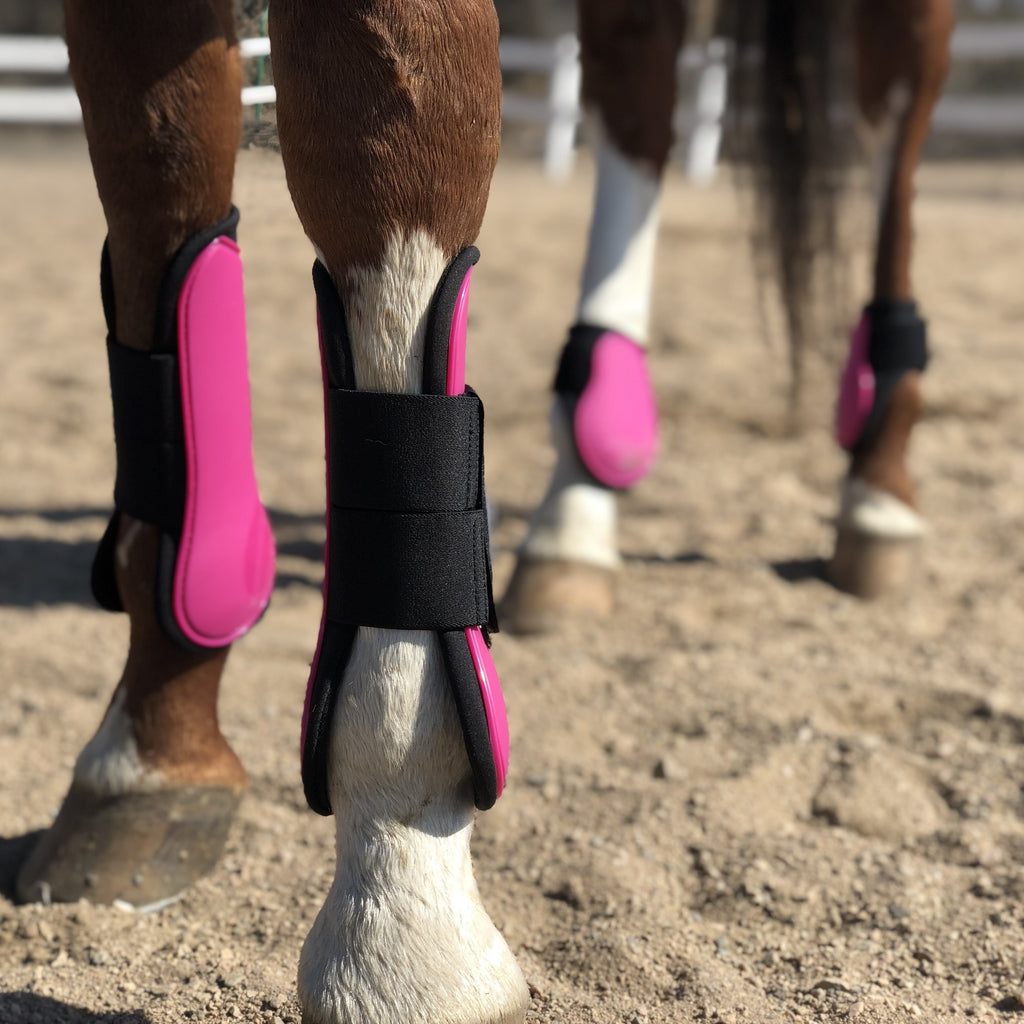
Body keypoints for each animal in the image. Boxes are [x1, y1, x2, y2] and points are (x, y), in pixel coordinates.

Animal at [9, 1, 953, 1022]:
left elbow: (377, 171)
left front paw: (402, 918)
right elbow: (162, 207)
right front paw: (149, 756)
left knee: (897, 100)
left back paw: (878, 486)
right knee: (639, 83)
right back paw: (577, 518)